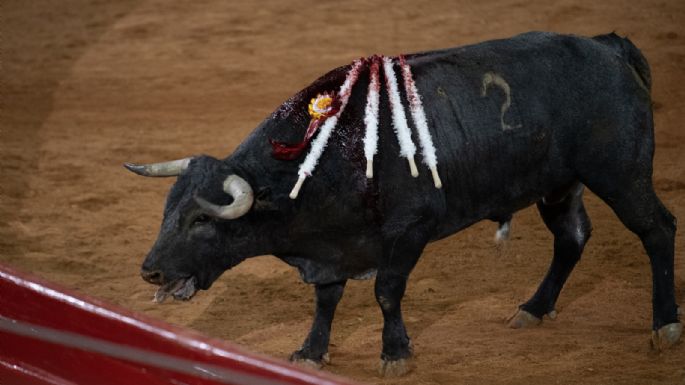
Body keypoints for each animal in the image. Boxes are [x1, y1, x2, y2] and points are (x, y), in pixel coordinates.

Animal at [125, 32, 680, 376]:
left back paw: (665, 325)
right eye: (168, 211)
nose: (151, 271)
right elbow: (326, 299)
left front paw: (395, 354)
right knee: (571, 237)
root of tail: (608, 48)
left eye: (202, 219)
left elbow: (387, 293)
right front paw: (310, 352)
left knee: (658, 230)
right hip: (560, 185)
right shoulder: (332, 248)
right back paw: (533, 309)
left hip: (620, 174)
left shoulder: (409, 231)